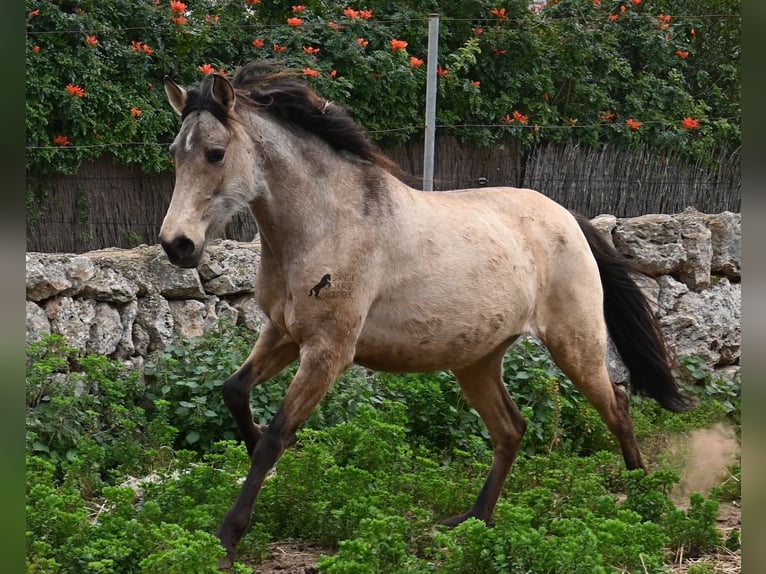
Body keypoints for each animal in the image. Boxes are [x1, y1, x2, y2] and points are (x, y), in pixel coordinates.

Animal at [158, 62, 696, 568]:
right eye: (175, 152)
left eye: (215, 153)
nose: (176, 245)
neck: (326, 225)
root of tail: (567, 216)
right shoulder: (284, 334)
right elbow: (234, 391)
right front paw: (253, 459)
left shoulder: (328, 350)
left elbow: (277, 435)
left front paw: (227, 540)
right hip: (477, 360)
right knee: (511, 429)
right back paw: (474, 520)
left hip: (574, 343)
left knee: (617, 406)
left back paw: (642, 501)